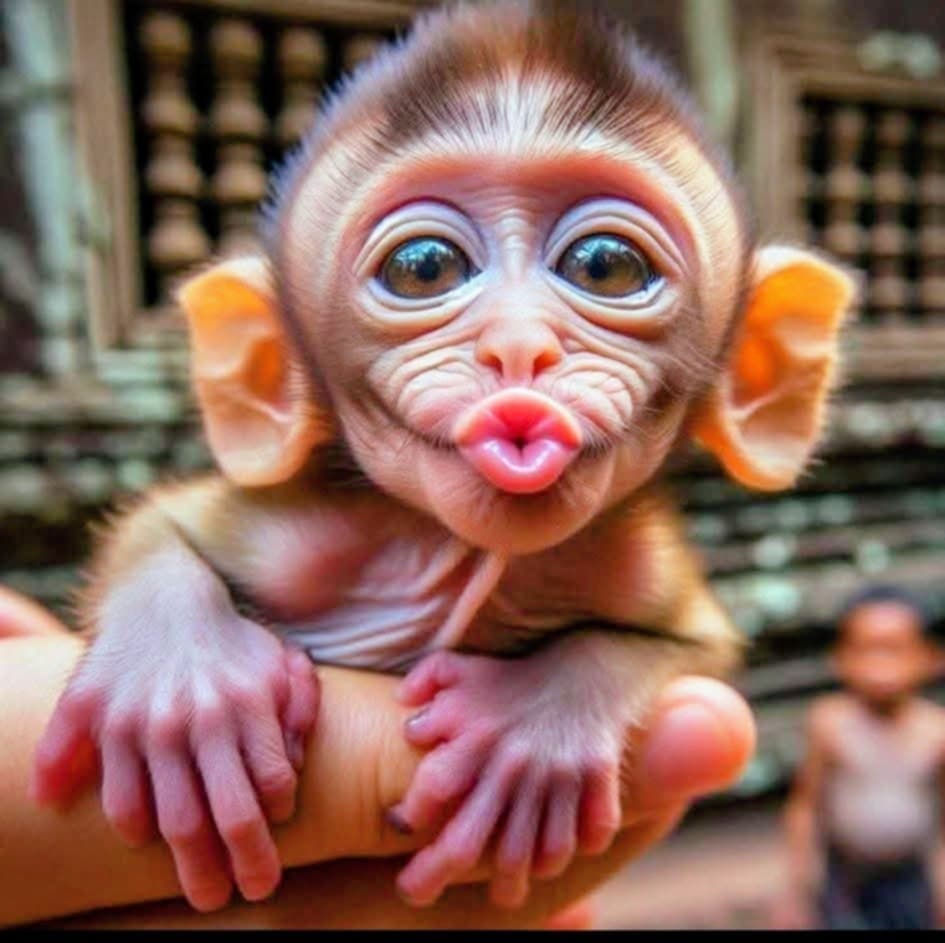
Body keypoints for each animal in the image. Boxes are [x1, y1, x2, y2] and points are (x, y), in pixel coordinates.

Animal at [31, 0, 855, 917]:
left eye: (605, 265)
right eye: (423, 268)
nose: (518, 348)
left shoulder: (631, 556)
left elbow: (695, 642)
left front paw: (533, 726)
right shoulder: (309, 529)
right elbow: (160, 524)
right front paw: (183, 682)